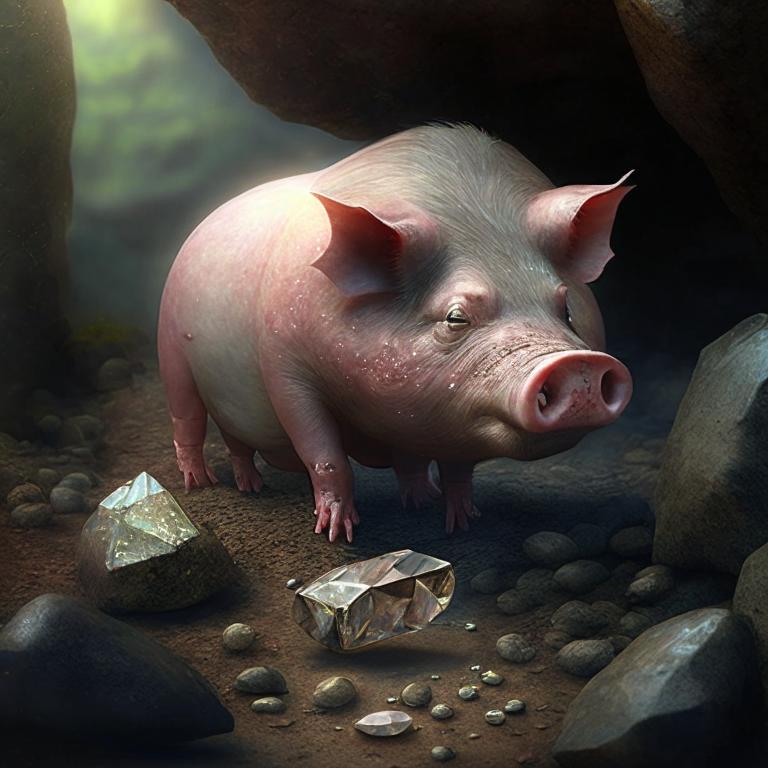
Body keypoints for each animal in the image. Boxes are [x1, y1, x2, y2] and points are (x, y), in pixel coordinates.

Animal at [158, 124, 633, 543]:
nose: (579, 366)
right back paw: (203, 483)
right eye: (456, 317)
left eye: (565, 307)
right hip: (171, 343)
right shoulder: (282, 363)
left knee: (237, 439)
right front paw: (337, 533)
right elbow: (325, 455)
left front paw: (460, 522)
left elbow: (457, 468)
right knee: (188, 419)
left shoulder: (452, 415)